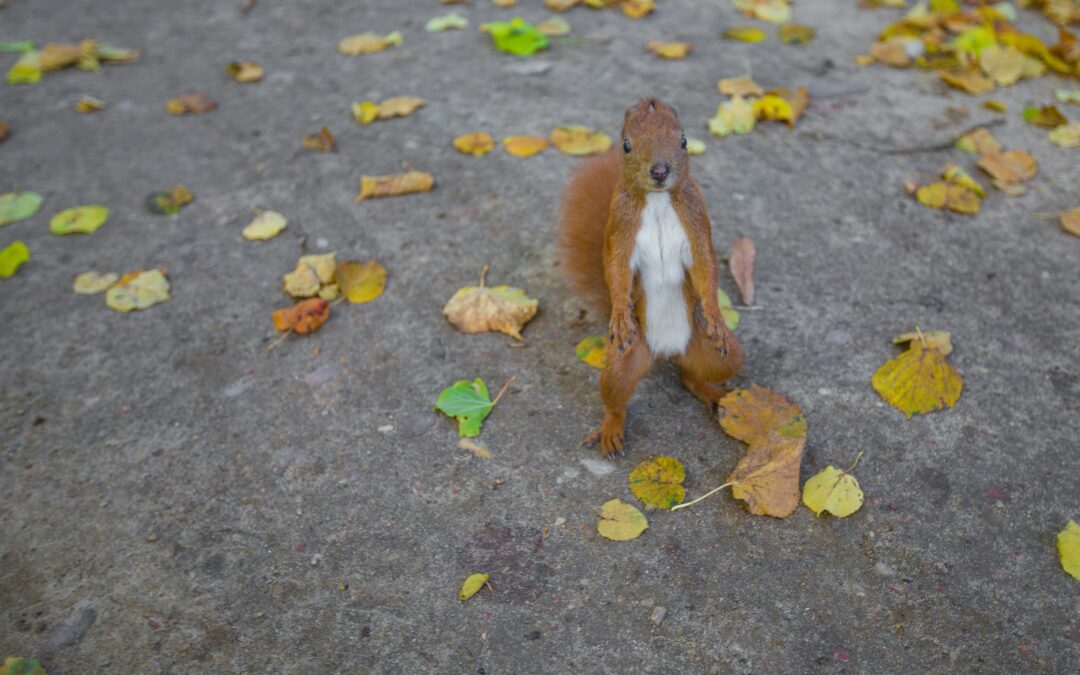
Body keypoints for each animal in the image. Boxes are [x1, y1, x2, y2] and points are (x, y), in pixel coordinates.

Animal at [558, 97, 745, 457]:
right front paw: (620, 312)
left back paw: (712, 392)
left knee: (692, 375)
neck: (657, 200)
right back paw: (611, 429)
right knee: (616, 395)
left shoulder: (695, 218)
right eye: (626, 145)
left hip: (718, 353)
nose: (660, 171)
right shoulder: (620, 226)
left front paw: (715, 313)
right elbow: (615, 269)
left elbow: (705, 266)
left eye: (684, 140)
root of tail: (666, 351)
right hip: (624, 359)